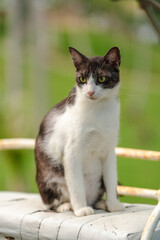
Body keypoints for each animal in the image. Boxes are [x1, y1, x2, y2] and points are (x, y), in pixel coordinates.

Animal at [34, 46, 125, 217]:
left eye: (101, 79)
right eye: (82, 79)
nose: (90, 92)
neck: (99, 109)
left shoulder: (109, 149)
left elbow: (111, 178)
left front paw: (113, 205)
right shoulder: (71, 151)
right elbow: (76, 185)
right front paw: (81, 209)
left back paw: (101, 203)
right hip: (50, 178)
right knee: (51, 201)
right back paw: (66, 206)